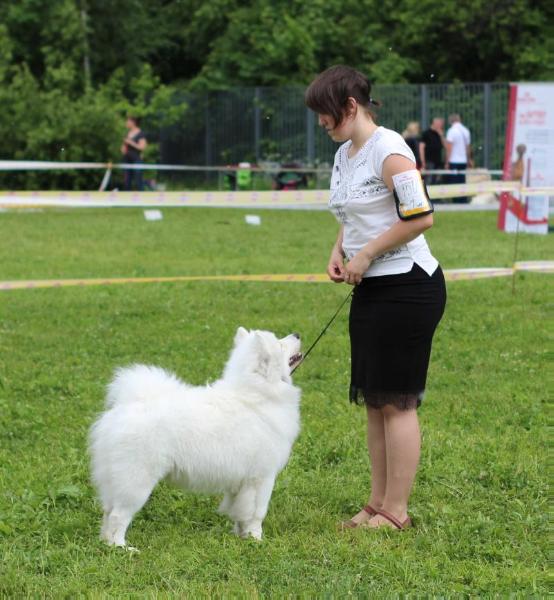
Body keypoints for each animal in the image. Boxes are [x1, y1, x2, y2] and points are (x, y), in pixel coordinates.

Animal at [88, 328, 302, 548]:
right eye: (280, 344)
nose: (297, 334)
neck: (259, 393)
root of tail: (125, 406)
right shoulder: (262, 478)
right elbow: (257, 514)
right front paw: (256, 541)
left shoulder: (240, 484)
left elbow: (239, 514)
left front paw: (241, 537)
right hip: (136, 481)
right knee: (118, 516)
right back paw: (122, 548)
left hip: (114, 480)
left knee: (107, 513)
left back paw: (107, 543)